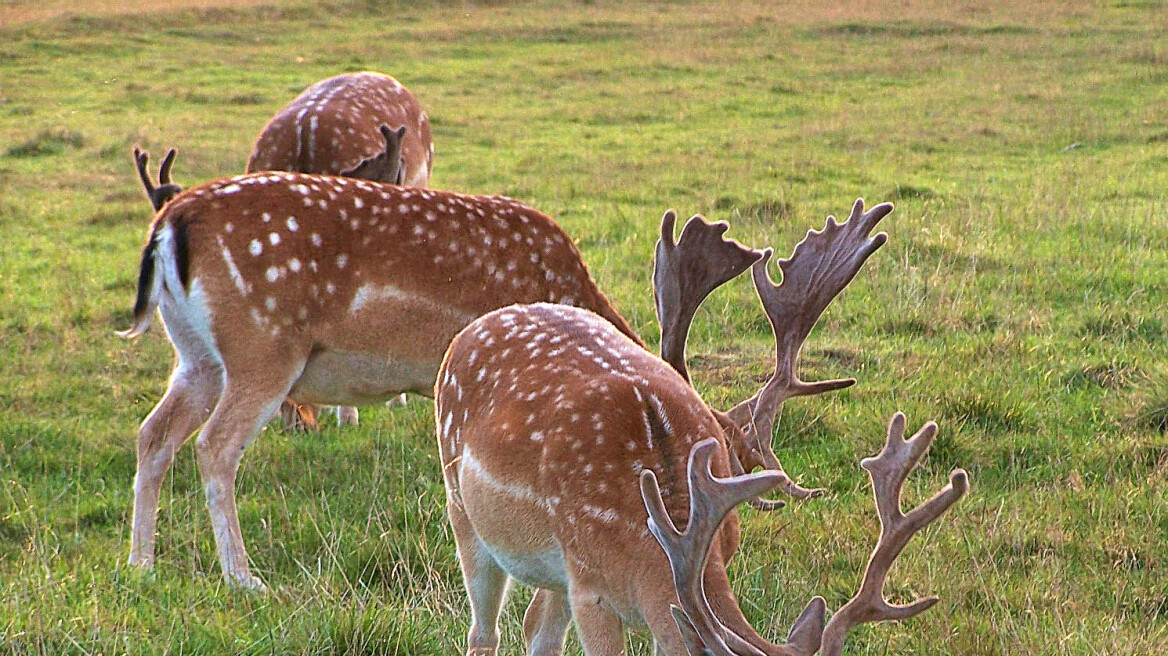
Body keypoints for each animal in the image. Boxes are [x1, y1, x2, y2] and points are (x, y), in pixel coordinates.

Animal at [122, 169, 644, 588]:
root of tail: (169, 223)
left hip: (196, 357)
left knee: (153, 434)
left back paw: (141, 566)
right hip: (263, 346)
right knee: (215, 445)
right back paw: (243, 578)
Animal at [436, 199, 967, 653]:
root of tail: (478, 326)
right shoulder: (587, 587)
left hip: (548, 570)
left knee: (535, 628)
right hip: (460, 502)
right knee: (484, 629)